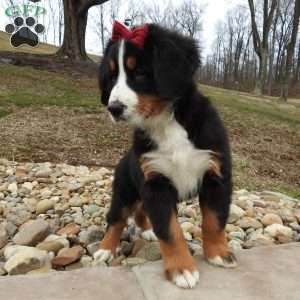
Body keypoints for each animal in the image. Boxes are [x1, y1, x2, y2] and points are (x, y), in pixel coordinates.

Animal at [94, 21, 237, 288]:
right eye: (112, 76)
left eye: (140, 72)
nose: (113, 108)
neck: (165, 122)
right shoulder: (155, 182)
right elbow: (170, 230)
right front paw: (181, 269)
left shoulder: (215, 175)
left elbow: (214, 220)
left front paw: (218, 253)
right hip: (124, 191)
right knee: (116, 219)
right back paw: (105, 249)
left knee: (140, 212)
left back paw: (146, 230)